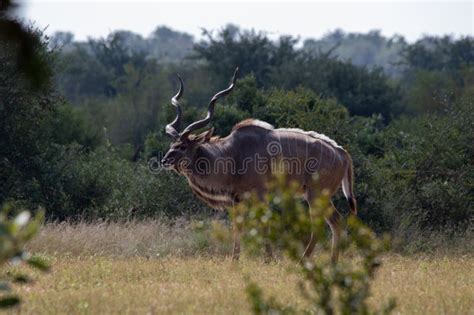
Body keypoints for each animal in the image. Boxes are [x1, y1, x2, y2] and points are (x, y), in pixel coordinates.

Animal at [161, 69, 358, 264]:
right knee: (336, 221)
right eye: (172, 145)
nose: (164, 161)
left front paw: (269, 259)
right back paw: (332, 262)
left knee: (324, 224)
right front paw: (234, 260)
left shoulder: (261, 195)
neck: (231, 155)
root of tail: (341, 153)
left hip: (315, 194)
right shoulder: (237, 199)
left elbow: (263, 224)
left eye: (183, 146)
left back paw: (304, 260)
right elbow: (238, 226)